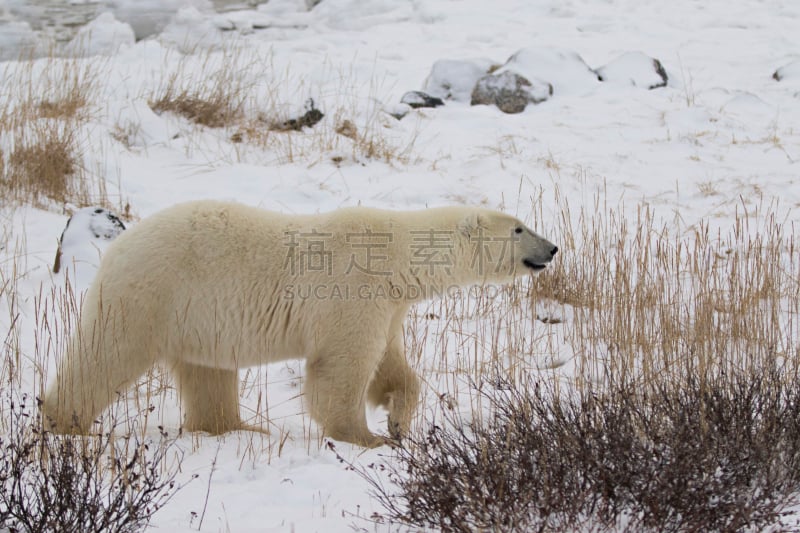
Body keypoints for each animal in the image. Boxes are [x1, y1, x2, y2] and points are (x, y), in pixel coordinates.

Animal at [43, 200, 556, 444]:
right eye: (518, 227)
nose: (552, 248)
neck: (396, 253)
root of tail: (117, 246)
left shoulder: (388, 303)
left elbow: (391, 365)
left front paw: (397, 421)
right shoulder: (353, 289)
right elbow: (343, 366)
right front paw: (364, 437)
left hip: (195, 318)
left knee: (208, 375)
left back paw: (240, 428)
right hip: (153, 293)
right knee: (104, 356)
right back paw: (65, 421)